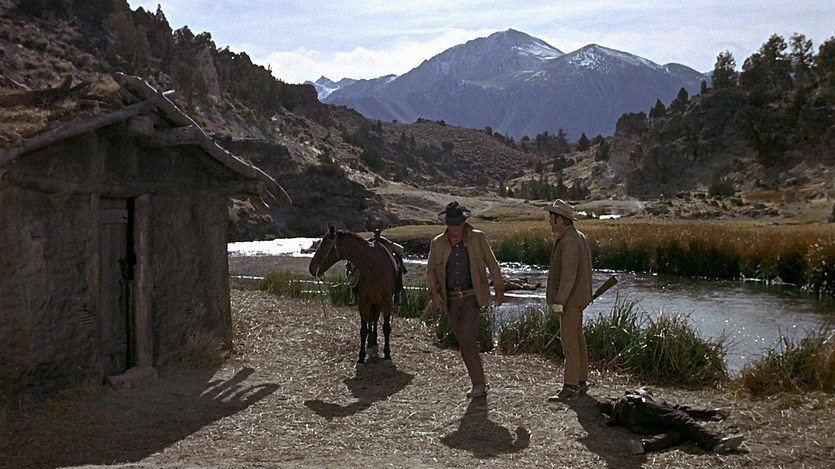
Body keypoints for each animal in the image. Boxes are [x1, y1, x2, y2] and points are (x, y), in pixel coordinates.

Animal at [309, 225, 398, 364]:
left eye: (324, 245)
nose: (311, 268)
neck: (374, 269)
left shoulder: (386, 301)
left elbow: (386, 327)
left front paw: (387, 355)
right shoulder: (364, 303)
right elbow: (363, 329)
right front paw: (361, 356)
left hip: (377, 303)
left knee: (375, 319)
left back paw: (374, 344)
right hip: (372, 303)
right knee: (371, 321)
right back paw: (370, 344)